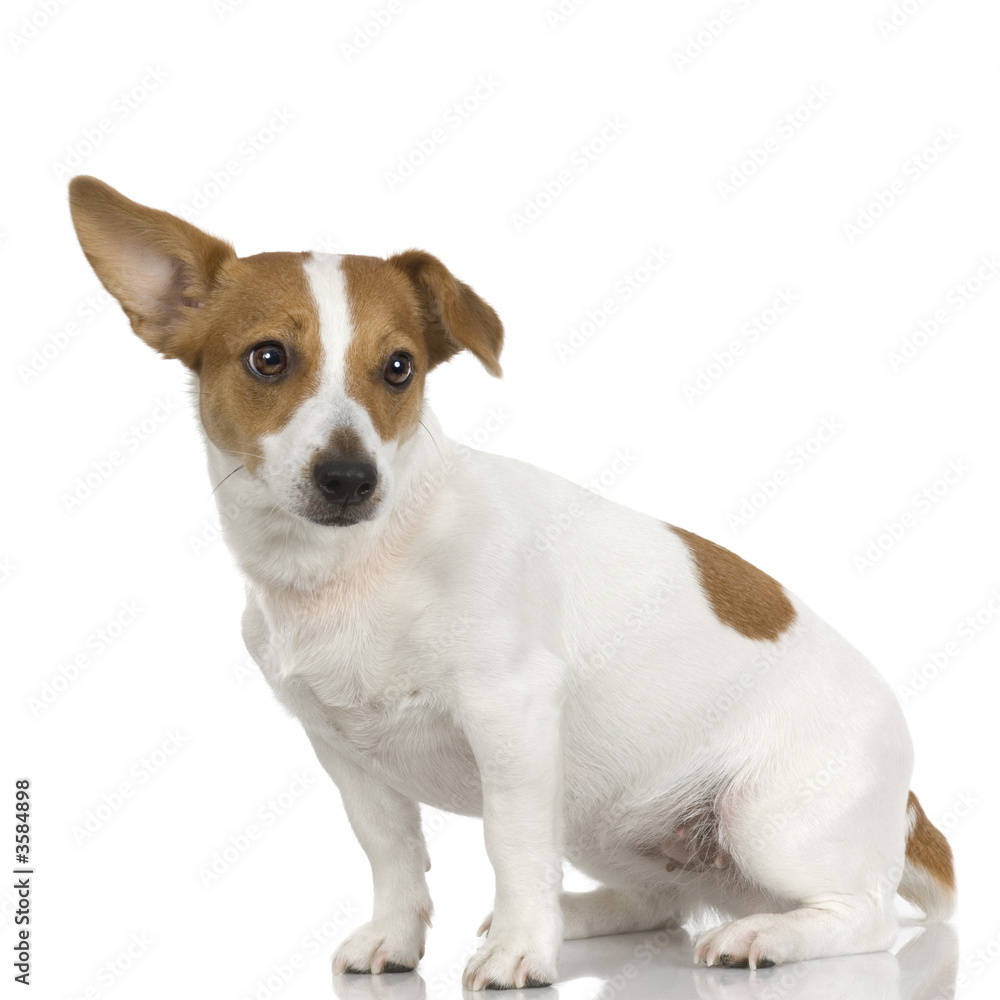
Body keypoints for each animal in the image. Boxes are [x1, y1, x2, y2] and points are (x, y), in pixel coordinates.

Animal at [66, 176, 956, 988]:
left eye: (399, 368)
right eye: (267, 359)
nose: (350, 478)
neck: (358, 568)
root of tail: (910, 804)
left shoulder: (513, 717)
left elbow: (511, 842)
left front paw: (523, 952)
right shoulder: (343, 751)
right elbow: (390, 850)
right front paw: (400, 937)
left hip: (765, 817)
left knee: (866, 915)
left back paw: (762, 935)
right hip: (606, 818)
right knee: (661, 902)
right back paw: (584, 913)